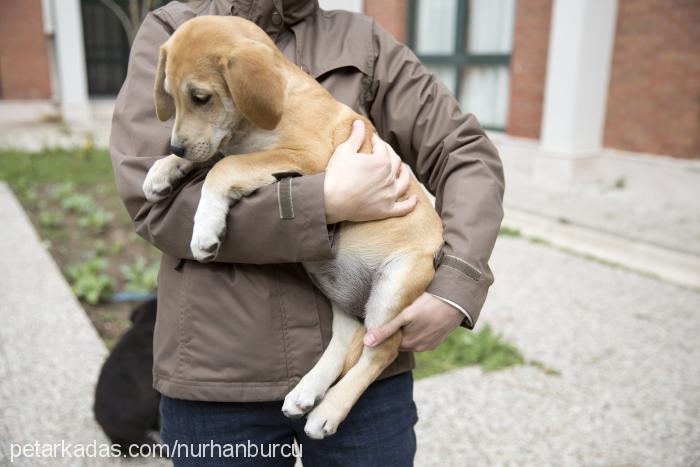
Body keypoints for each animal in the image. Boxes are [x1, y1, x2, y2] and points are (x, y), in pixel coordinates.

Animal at [141, 14, 442, 438]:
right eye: (171, 94)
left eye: (201, 97)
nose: (176, 146)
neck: (275, 104)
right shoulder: (232, 144)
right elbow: (214, 156)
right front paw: (163, 170)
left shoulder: (306, 156)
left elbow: (224, 166)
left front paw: (205, 230)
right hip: (338, 288)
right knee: (348, 339)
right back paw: (306, 391)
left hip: (394, 285)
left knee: (380, 349)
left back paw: (328, 410)